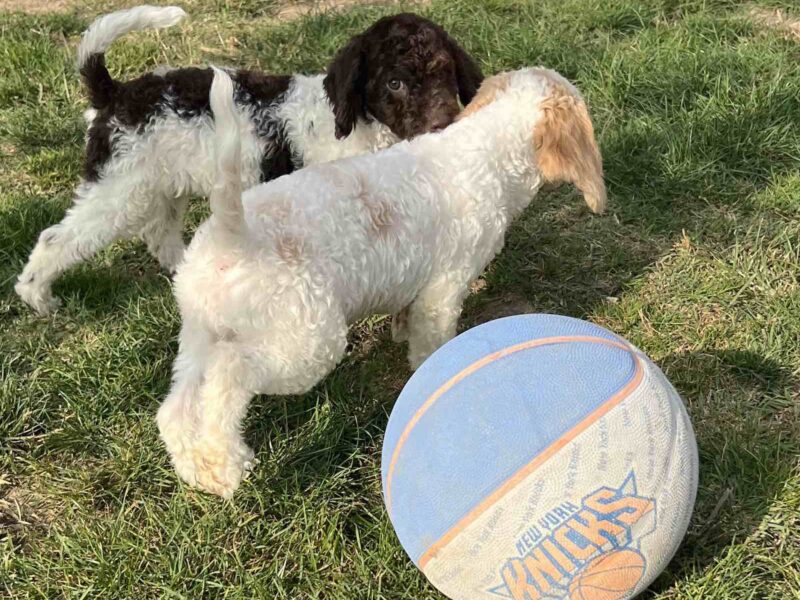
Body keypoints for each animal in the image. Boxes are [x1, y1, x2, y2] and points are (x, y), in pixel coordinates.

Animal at [17, 5, 482, 314]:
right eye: (395, 83)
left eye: (444, 71)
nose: (444, 123)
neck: (363, 126)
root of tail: (114, 93)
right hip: (117, 191)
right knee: (56, 239)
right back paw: (37, 297)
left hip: (162, 186)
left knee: (159, 234)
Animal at [158, 67, 608, 496]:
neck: (485, 150)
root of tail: (233, 236)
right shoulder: (444, 291)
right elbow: (431, 344)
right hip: (306, 343)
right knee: (228, 376)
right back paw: (228, 466)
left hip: (201, 337)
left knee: (176, 410)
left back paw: (202, 473)